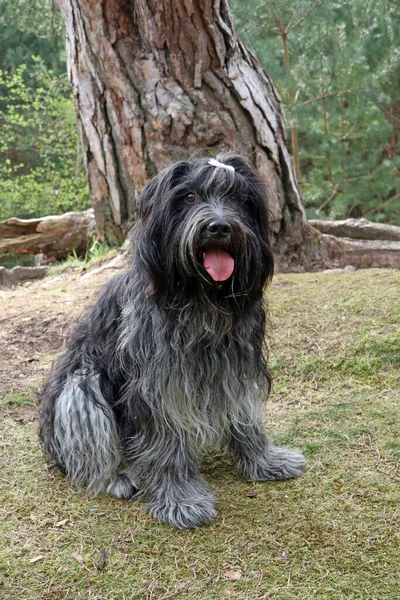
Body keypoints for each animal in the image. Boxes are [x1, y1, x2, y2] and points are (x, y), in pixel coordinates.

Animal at [39, 156, 304, 528]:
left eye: (238, 198)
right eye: (189, 197)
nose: (219, 227)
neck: (200, 298)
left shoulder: (235, 363)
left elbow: (245, 416)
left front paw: (264, 460)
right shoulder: (156, 382)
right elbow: (165, 441)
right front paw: (180, 500)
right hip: (79, 386)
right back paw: (116, 477)